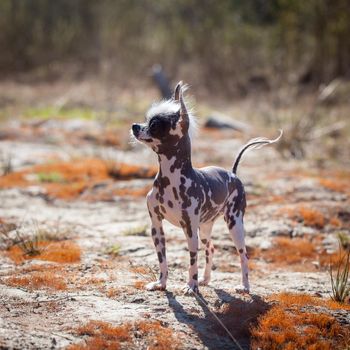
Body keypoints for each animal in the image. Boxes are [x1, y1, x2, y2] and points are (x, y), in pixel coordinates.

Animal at [131, 82, 282, 296]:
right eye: (146, 120)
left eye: (155, 125)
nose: (134, 126)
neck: (171, 179)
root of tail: (232, 173)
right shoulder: (156, 226)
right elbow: (162, 260)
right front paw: (161, 283)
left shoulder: (189, 229)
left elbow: (192, 261)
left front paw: (191, 286)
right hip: (205, 228)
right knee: (211, 248)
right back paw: (206, 279)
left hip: (235, 224)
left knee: (243, 255)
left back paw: (244, 286)